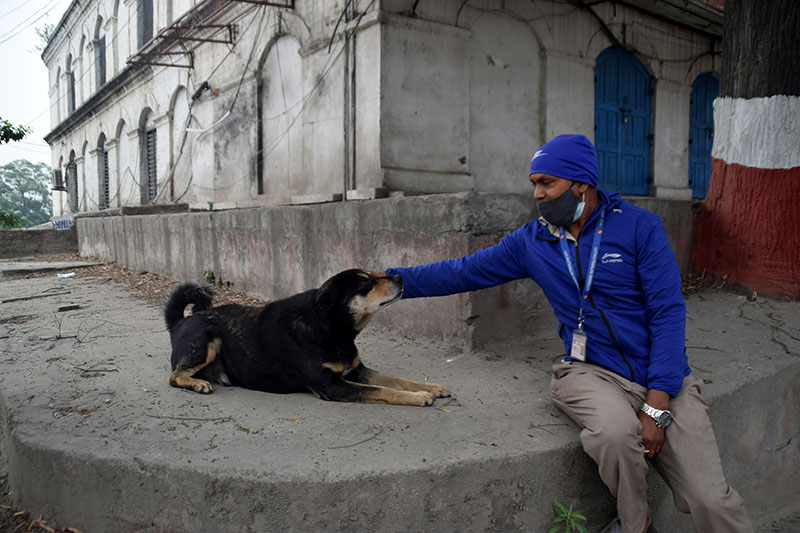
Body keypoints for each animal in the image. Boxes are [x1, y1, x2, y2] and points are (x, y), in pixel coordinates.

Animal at [162, 268, 450, 406]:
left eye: (374, 275)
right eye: (366, 284)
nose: (400, 277)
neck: (332, 331)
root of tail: (179, 322)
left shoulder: (357, 370)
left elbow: (396, 380)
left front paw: (432, 387)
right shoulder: (331, 386)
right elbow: (384, 390)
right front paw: (420, 397)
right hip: (208, 336)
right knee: (174, 376)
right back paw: (196, 383)